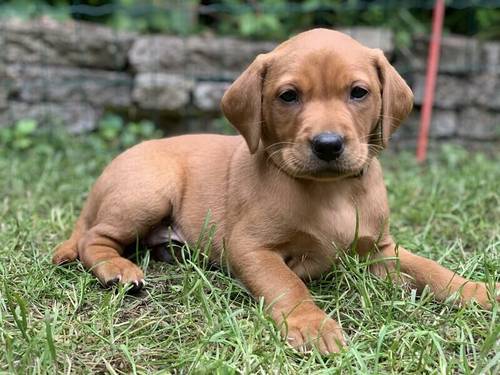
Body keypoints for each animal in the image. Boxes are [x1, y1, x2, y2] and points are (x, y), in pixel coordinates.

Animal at [52, 29, 498, 356]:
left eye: (359, 92)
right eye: (288, 96)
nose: (328, 144)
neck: (332, 192)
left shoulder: (379, 248)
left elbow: (429, 267)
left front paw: (474, 289)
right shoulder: (252, 248)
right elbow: (289, 285)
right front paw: (313, 325)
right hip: (148, 190)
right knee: (95, 238)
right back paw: (117, 269)